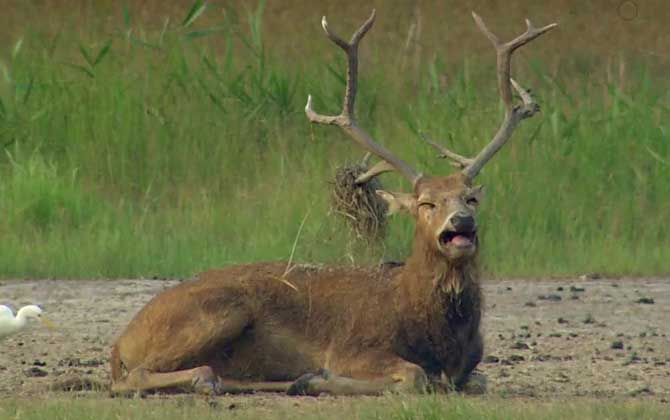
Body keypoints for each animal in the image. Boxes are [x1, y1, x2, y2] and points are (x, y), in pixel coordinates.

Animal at [110, 10, 560, 398]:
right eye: (425, 203)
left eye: (471, 198)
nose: (462, 222)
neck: (431, 329)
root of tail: (121, 341)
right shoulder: (352, 345)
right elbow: (413, 376)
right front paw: (322, 377)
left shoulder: (470, 365)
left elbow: (478, 380)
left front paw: (309, 379)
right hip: (219, 310)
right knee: (138, 375)